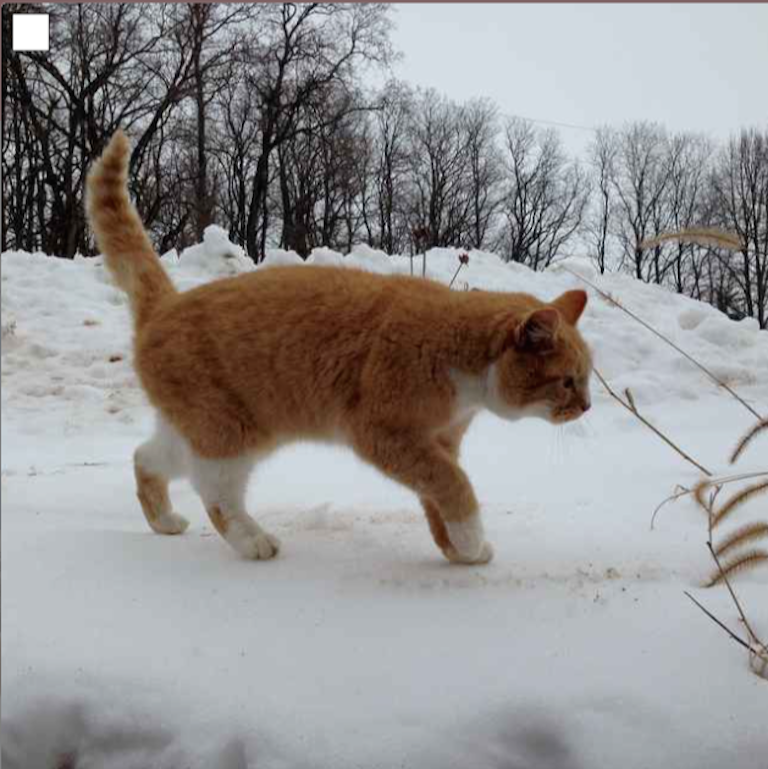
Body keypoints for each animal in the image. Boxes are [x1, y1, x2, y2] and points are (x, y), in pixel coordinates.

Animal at [85, 130, 592, 564]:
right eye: (568, 381)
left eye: (586, 379)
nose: (587, 406)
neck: (458, 360)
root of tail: (167, 302)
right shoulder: (385, 433)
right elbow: (454, 485)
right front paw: (469, 537)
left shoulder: (440, 441)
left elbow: (435, 496)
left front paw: (457, 549)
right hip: (230, 431)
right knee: (216, 493)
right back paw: (254, 541)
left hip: (195, 426)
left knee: (146, 458)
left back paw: (165, 521)